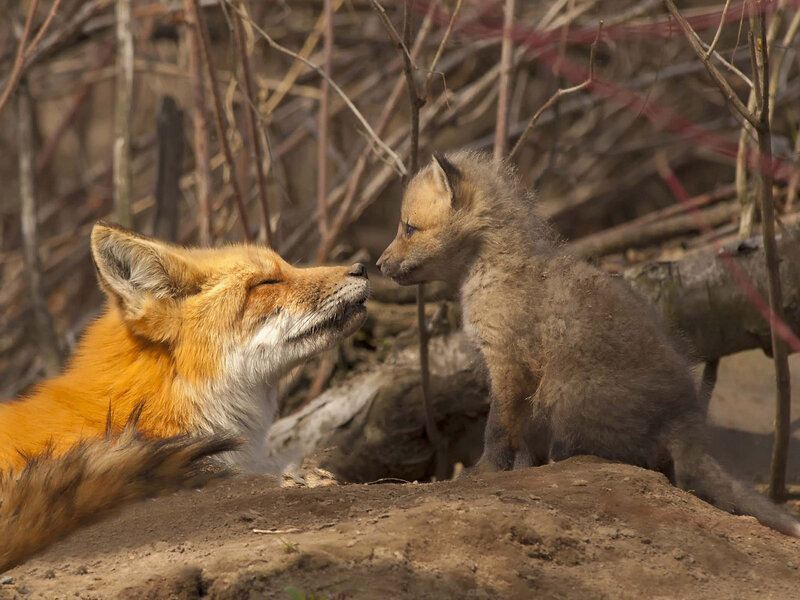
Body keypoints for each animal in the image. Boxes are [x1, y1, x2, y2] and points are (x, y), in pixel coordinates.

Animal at [377, 150, 800, 538]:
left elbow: (497, 430)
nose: (378, 265)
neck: (491, 269)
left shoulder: (509, 364)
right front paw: (518, 473)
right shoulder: (519, 378)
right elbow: (522, 443)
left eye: (409, 228)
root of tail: (684, 418)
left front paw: (484, 472)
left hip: (563, 396)